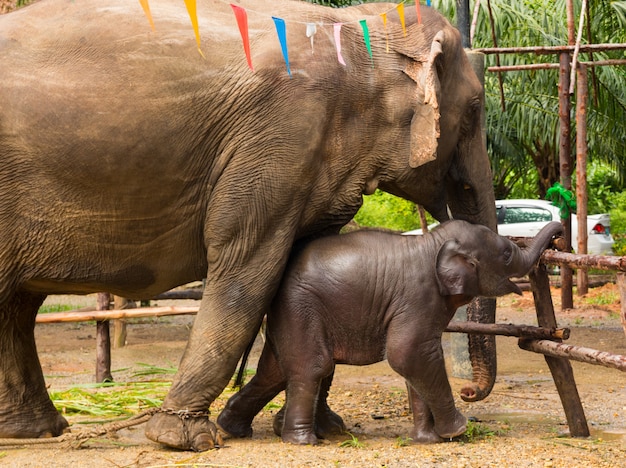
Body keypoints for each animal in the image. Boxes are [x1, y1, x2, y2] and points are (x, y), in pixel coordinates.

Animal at [0, 0, 498, 454]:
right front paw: (185, 439)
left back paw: (36, 430)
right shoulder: (282, 135)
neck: (360, 30)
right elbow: (247, 265)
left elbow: (306, 259)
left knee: (16, 307)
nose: (471, 392)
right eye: (475, 109)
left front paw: (324, 430)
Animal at [218, 220, 560, 446]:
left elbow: (416, 362)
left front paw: (428, 439)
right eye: (506, 255)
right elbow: (408, 354)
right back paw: (303, 442)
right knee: (313, 366)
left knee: (274, 371)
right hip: (299, 306)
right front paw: (458, 431)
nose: (559, 236)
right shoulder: (418, 296)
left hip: (289, 314)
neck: (433, 243)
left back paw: (231, 429)